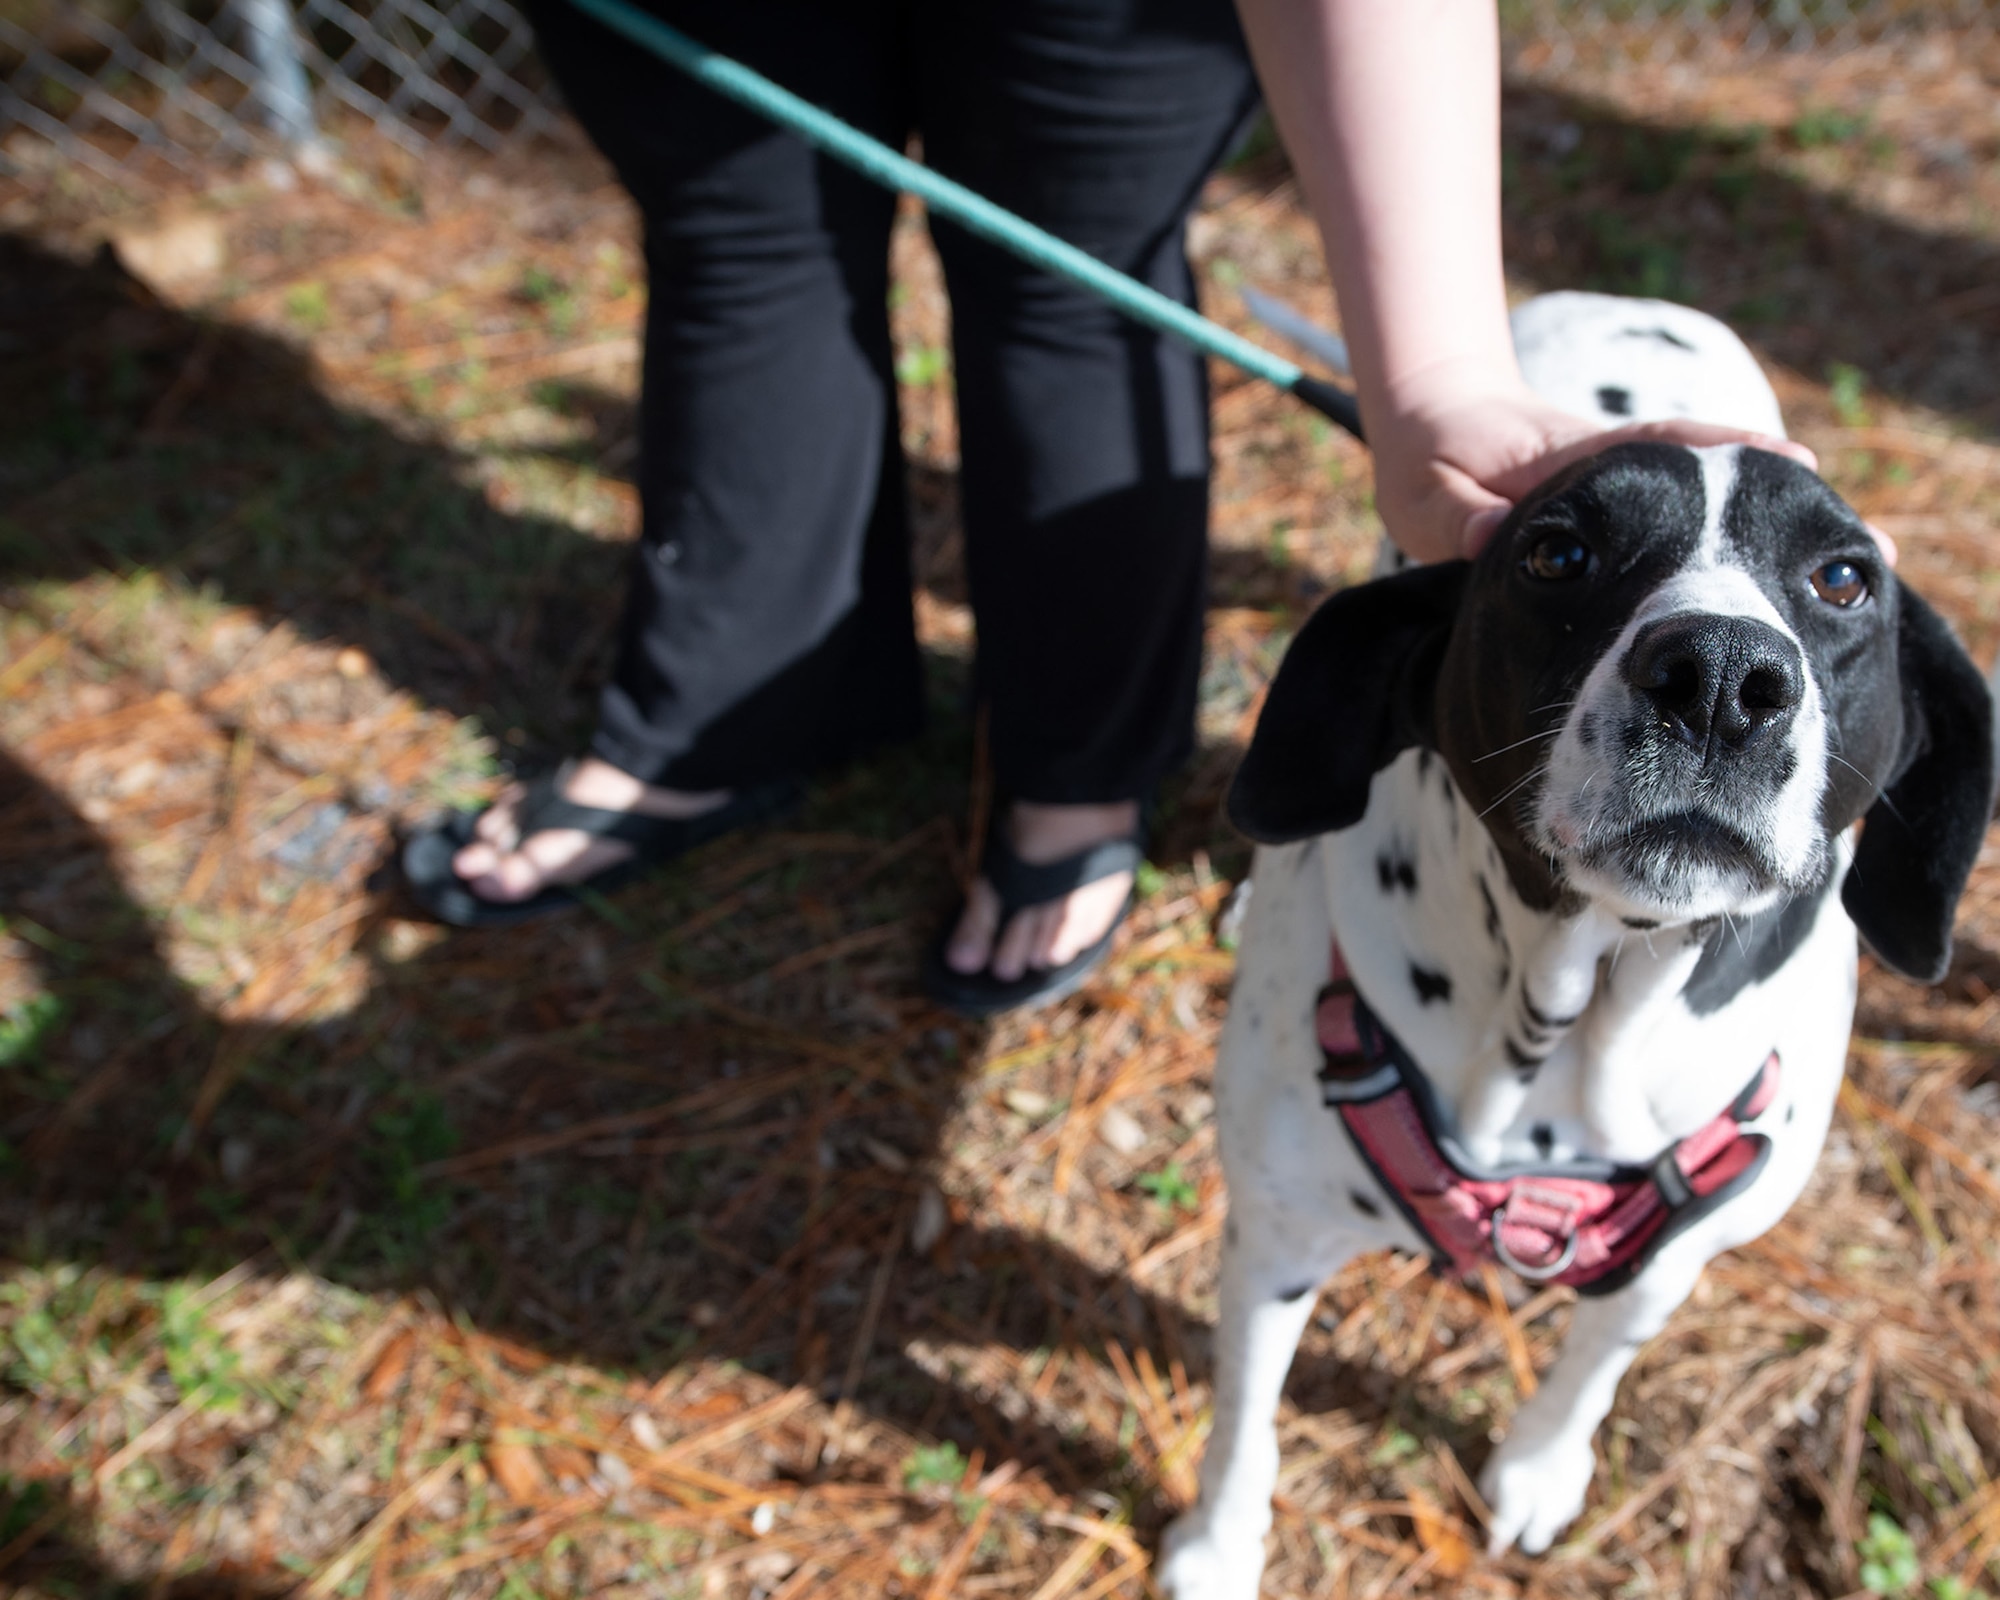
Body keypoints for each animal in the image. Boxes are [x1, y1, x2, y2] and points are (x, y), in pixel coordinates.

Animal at [1168, 294, 1992, 1592]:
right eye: (1554, 555)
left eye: (1843, 579)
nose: (1719, 676)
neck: (1569, 1019)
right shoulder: (1274, 1232)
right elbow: (1244, 1413)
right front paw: (1215, 1545)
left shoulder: (1678, 1240)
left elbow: (1599, 1356)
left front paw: (1538, 1465)